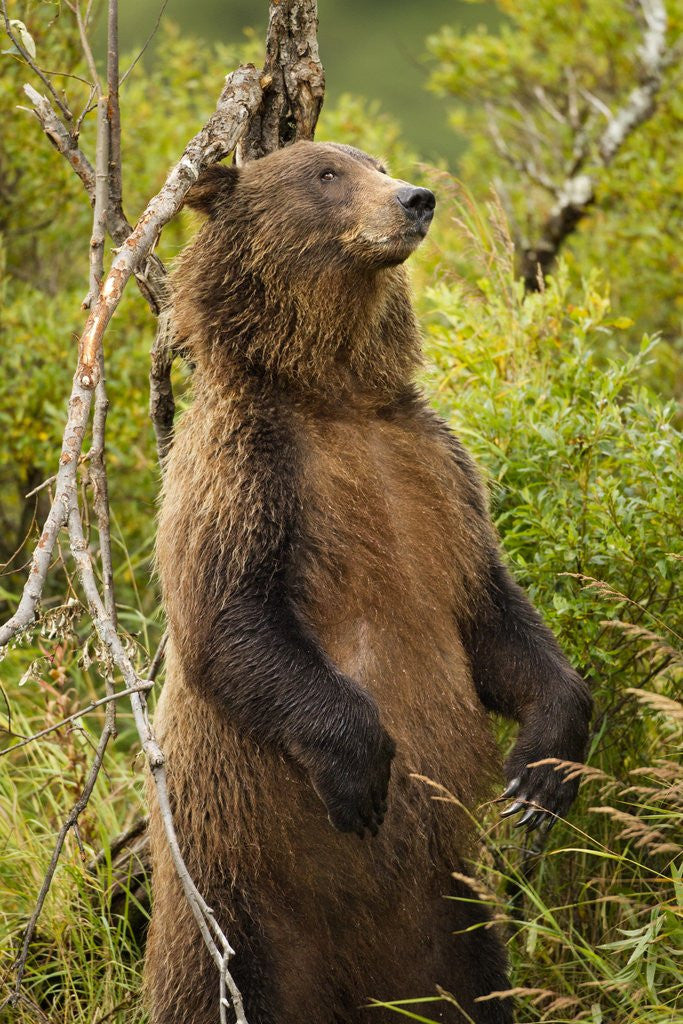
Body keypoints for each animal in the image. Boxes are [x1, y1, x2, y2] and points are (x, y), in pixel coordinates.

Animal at [146, 140, 592, 1024]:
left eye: (375, 162)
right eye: (325, 174)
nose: (415, 198)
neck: (334, 395)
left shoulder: (436, 474)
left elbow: (493, 616)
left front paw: (537, 777)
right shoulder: (246, 469)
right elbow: (229, 618)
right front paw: (361, 774)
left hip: (442, 921)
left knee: (476, 984)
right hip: (234, 906)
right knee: (209, 986)